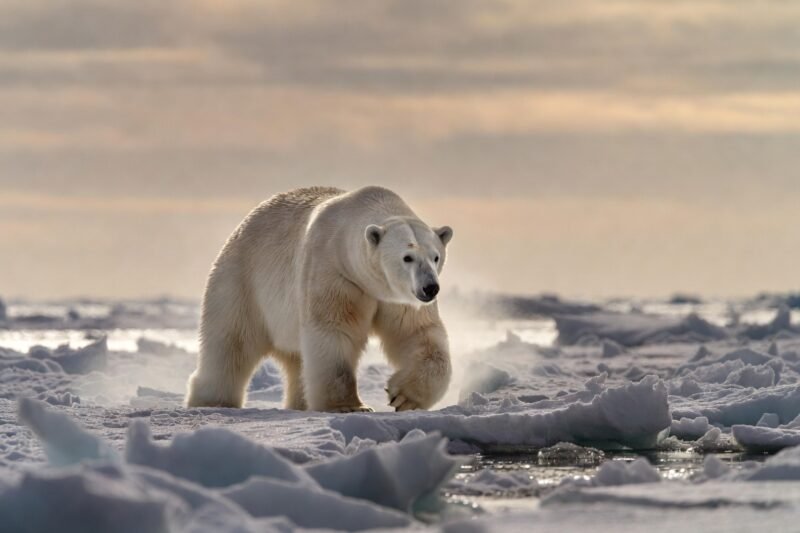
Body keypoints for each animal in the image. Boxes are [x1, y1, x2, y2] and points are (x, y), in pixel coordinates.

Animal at [185, 186, 453, 412]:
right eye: (407, 257)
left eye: (436, 256)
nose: (430, 288)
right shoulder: (334, 270)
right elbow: (334, 330)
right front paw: (349, 406)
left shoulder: (399, 298)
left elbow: (417, 333)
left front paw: (403, 396)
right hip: (242, 280)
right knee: (230, 342)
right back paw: (212, 401)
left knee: (297, 360)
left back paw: (299, 403)